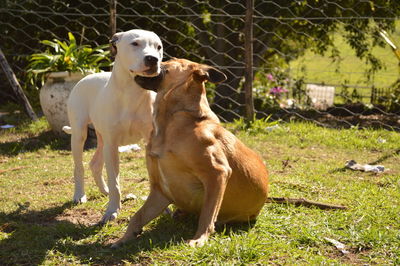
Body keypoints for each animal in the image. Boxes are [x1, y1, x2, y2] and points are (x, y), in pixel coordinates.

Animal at [62, 29, 162, 222]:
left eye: (158, 47)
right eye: (135, 43)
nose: (153, 59)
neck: (132, 91)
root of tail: (88, 76)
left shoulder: (149, 141)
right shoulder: (112, 145)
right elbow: (114, 181)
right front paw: (112, 211)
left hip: (102, 140)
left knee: (95, 164)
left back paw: (104, 191)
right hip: (80, 135)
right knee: (79, 167)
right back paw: (79, 195)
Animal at [112, 57, 268, 247]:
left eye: (166, 62)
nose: (151, 59)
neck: (172, 120)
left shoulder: (217, 173)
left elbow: (207, 214)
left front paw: (199, 239)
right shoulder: (159, 190)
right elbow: (138, 216)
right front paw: (124, 238)